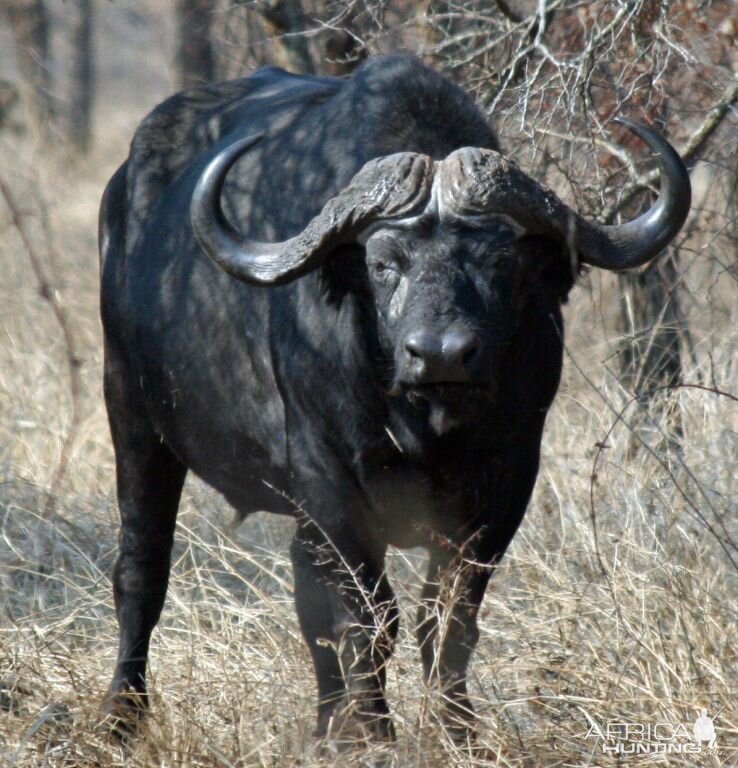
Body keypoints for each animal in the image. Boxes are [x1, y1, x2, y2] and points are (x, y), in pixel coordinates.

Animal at [99, 54, 688, 744]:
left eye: (499, 261)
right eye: (384, 264)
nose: (440, 354)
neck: (424, 423)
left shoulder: (507, 482)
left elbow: (448, 617)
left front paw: (455, 729)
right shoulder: (331, 482)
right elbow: (367, 618)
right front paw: (375, 732)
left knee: (307, 592)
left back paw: (327, 725)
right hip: (133, 417)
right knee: (142, 569)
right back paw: (122, 713)